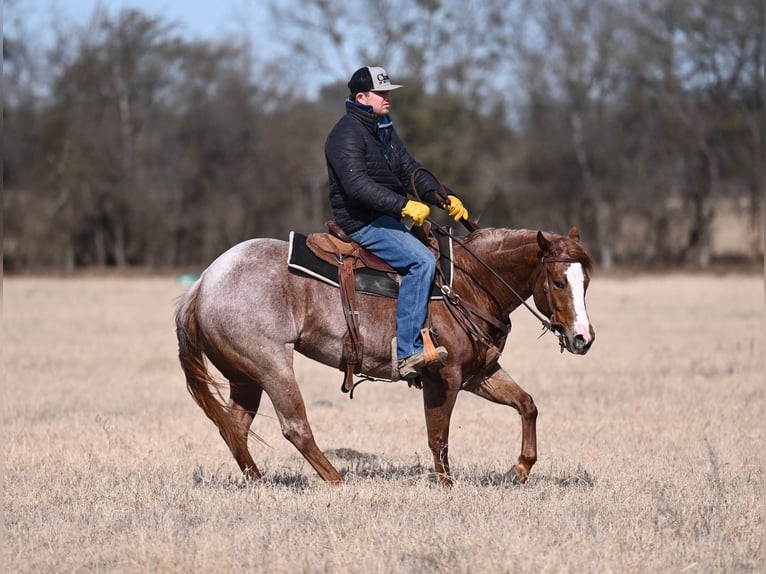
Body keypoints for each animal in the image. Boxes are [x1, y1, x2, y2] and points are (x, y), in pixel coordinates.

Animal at [175, 225, 595, 486]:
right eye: (558, 282)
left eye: (585, 282)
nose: (583, 338)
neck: (466, 284)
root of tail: (203, 283)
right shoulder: (444, 378)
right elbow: (438, 437)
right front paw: (447, 487)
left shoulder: (480, 374)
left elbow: (527, 404)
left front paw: (519, 469)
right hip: (272, 367)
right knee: (294, 427)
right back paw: (336, 481)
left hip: (245, 377)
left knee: (235, 428)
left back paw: (259, 482)